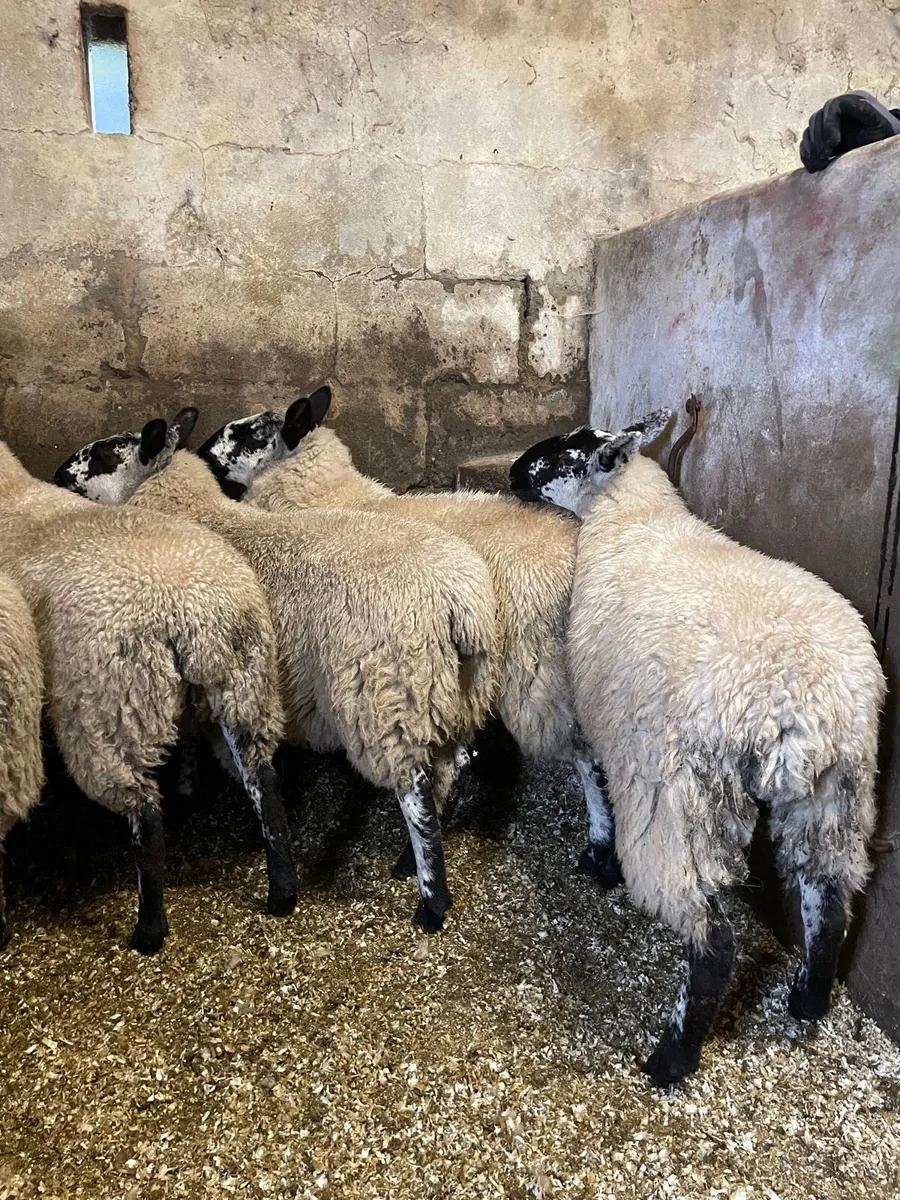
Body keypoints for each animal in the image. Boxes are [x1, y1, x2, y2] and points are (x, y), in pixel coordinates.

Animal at [0, 434, 295, 954]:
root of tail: (191, 612)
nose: (57, 473)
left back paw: (149, 930)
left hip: (111, 710)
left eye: (102, 456)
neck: (14, 495)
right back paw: (281, 892)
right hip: (244, 685)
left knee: (145, 815)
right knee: (264, 782)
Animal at [54, 410, 498, 933]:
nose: (58, 472)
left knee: (418, 793)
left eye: (105, 454)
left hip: (388, 699)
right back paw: (408, 864)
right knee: (451, 765)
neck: (209, 517)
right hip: (450, 694)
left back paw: (430, 903)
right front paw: (190, 790)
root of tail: (458, 601)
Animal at [195, 387, 623, 888]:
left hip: (541, 672)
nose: (200, 454)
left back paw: (600, 852)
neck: (333, 497)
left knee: (588, 756)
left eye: (248, 433)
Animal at [508, 409, 885, 1085]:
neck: (633, 520)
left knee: (714, 946)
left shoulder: (598, 712)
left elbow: (590, 779)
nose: (511, 472)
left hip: (682, 805)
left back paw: (671, 1059)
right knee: (829, 903)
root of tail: (795, 708)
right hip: (837, 794)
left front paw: (598, 857)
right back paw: (806, 1001)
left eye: (563, 453)